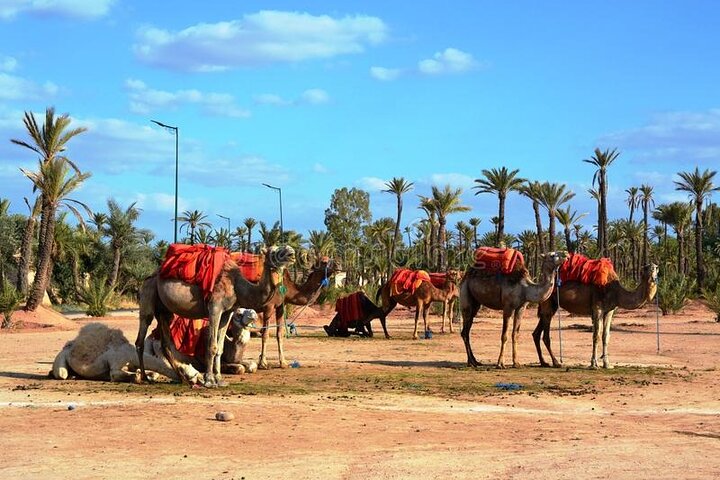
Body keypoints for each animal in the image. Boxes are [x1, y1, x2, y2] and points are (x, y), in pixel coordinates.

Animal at [135, 245, 295, 387]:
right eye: (274, 252)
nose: (292, 253)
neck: (238, 286)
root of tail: (151, 275)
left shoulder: (227, 313)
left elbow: (220, 347)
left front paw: (219, 379)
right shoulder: (215, 308)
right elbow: (211, 345)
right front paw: (210, 380)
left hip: (164, 310)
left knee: (166, 343)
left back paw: (183, 379)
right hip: (149, 293)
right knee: (141, 335)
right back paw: (145, 378)